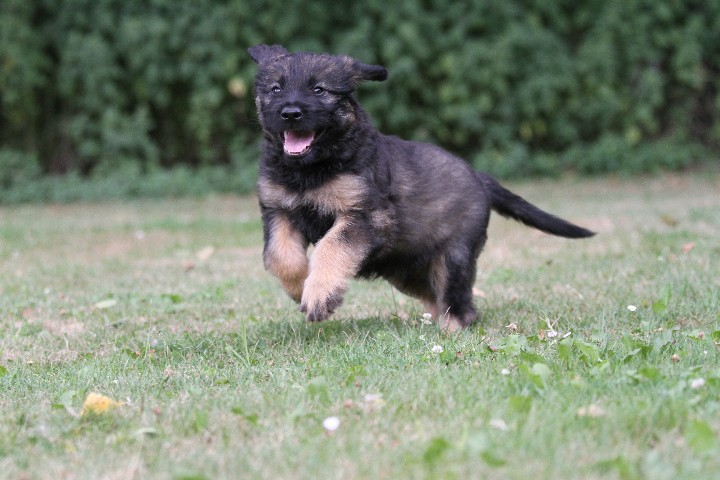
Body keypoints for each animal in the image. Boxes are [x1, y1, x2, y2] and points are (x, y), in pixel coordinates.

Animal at [249, 44, 596, 330]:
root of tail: (479, 176)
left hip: (454, 257)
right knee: (435, 296)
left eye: (319, 89)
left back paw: (451, 331)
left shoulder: (366, 215)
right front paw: (299, 287)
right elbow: (280, 256)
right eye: (276, 88)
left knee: (460, 303)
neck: (310, 170)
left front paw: (319, 293)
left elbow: (331, 246)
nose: (290, 113)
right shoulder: (278, 211)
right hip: (404, 269)